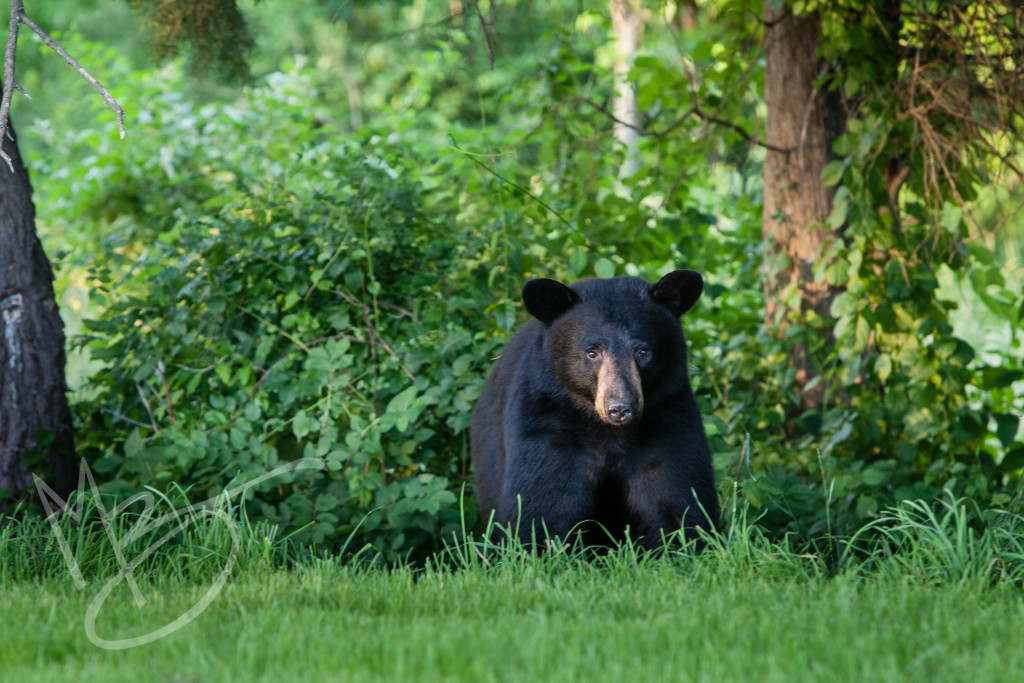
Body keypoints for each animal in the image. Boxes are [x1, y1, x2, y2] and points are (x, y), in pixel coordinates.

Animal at [471, 268, 720, 548]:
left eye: (643, 351)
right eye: (592, 352)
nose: (620, 408)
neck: (608, 432)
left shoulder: (669, 420)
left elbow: (676, 501)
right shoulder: (547, 423)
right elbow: (544, 504)